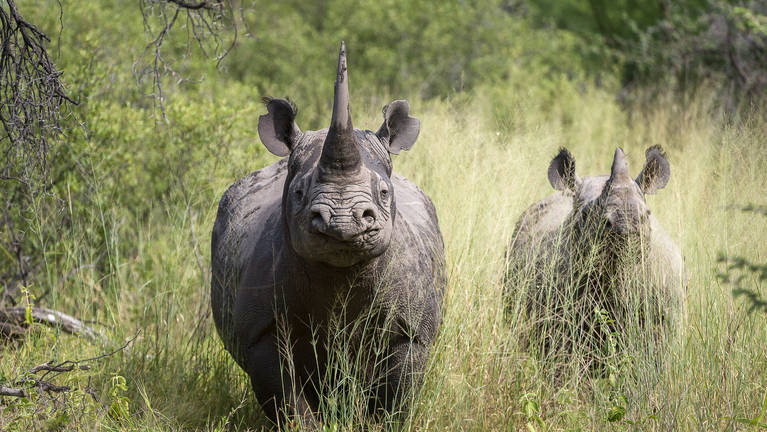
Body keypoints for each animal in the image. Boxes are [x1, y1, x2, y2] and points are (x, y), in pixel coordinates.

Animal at [210, 42, 445, 424]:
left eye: (384, 193)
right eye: (298, 193)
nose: (342, 220)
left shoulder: (410, 333)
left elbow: (393, 401)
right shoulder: (262, 331)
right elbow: (288, 403)